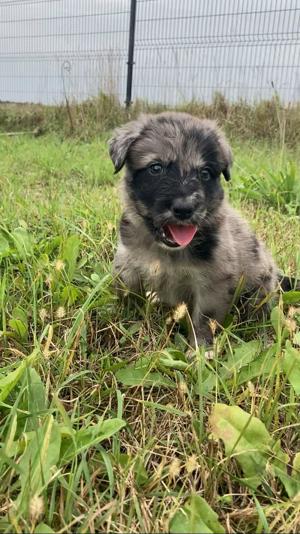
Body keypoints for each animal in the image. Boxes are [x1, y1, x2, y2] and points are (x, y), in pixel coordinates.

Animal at [109, 113, 290, 348]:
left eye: (205, 173)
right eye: (156, 168)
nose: (185, 209)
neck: (167, 252)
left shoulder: (212, 283)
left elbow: (204, 319)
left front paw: (200, 350)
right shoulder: (128, 264)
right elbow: (128, 294)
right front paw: (125, 321)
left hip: (260, 289)